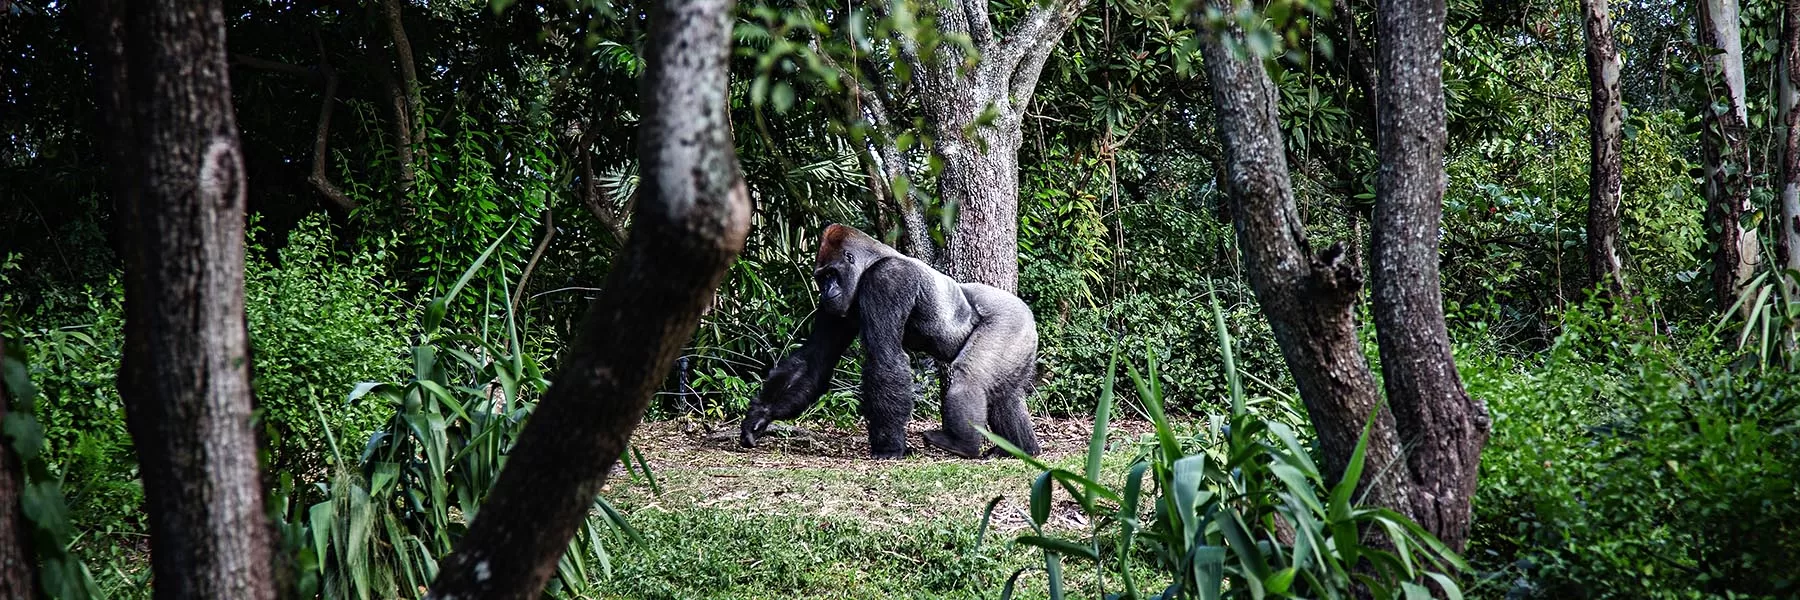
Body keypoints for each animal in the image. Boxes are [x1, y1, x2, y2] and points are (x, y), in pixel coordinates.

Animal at [739, 224, 1042, 459]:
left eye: (831, 274)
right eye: (821, 278)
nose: (826, 292)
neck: (871, 260)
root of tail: (1027, 313)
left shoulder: (887, 280)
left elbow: (884, 358)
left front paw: (889, 447)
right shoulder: (836, 307)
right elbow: (814, 360)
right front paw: (760, 415)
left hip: (1010, 320)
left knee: (970, 376)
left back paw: (962, 444)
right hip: (1021, 337)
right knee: (1005, 394)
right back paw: (1020, 448)